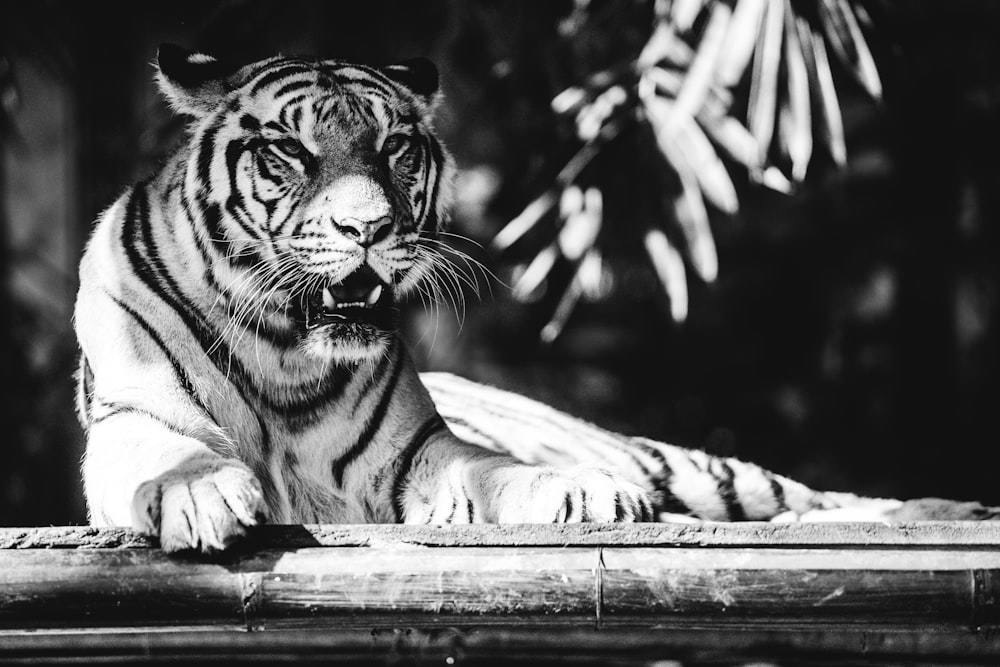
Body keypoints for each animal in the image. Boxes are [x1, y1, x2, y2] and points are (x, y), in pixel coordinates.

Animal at [72, 43, 992, 552]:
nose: (369, 228)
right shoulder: (131, 419)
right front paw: (197, 491)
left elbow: (492, 470)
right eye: (291, 152)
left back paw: (947, 507)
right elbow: (168, 454)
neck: (283, 351)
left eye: (396, 147)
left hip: (697, 469)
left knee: (818, 498)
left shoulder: (417, 453)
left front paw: (581, 492)